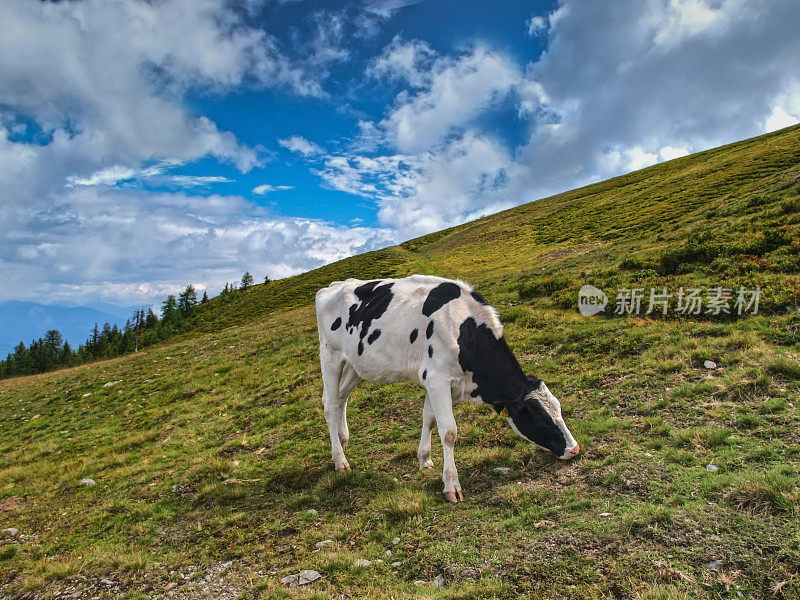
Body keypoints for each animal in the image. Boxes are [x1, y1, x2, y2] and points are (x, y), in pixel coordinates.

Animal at [314, 276, 580, 502]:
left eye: (558, 408)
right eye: (536, 415)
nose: (574, 450)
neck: (462, 328)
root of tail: (334, 285)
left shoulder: (439, 382)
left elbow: (429, 419)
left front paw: (425, 459)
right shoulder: (437, 379)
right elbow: (449, 432)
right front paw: (452, 486)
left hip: (355, 365)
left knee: (341, 398)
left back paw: (343, 440)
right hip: (330, 355)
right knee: (330, 404)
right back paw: (340, 460)